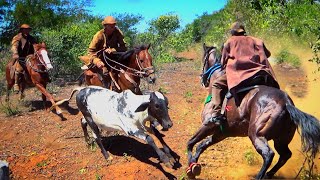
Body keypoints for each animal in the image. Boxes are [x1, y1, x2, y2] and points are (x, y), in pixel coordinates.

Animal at [185, 43, 320, 179]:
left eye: (204, 59)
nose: (202, 79)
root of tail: (287, 103)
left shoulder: (208, 125)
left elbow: (190, 142)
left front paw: (192, 167)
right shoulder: (221, 133)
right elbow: (201, 145)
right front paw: (194, 165)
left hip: (256, 134)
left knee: (268, 154)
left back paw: (260, 176)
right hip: (280, 140)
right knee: (285, 155)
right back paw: (268, 174)